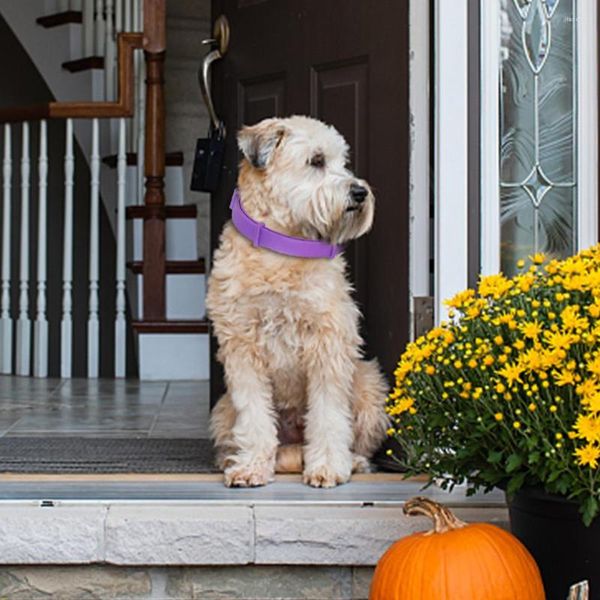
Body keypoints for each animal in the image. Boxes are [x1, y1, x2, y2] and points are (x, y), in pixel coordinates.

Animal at [206, 117, 390, 488]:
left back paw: (353, 461)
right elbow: (254, 416)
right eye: (316, 161)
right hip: (221, 411)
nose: (360, 192)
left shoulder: (328, 344)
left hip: (368, 385)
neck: (280, 250)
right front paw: (251, 467)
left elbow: (329, 414)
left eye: (343, 162)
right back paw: (234, 459)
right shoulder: (242, 349)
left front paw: (329, 467)